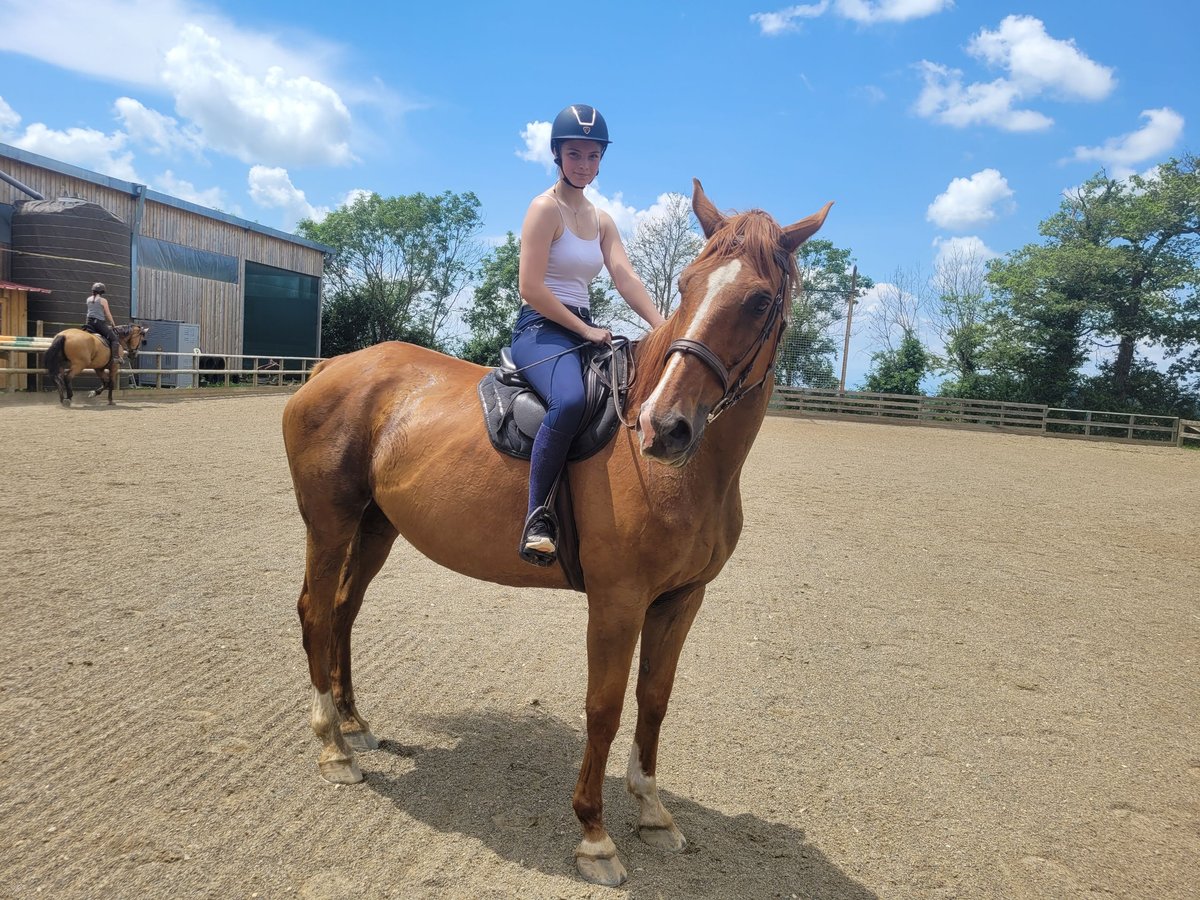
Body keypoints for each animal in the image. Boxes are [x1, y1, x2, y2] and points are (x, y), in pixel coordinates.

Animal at [280, 181, 830, 888]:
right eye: (687, 285)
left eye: (760, 299)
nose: (664, 427)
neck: (681, 473)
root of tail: (330, 368)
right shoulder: (618, 602)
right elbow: (604, 707)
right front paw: (594, 836)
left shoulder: (681, 600)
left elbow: (654, 699)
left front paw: (653, 812)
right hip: (329, 521)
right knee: (318, 610)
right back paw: (333, 747)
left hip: (376, 526)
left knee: (345, 610)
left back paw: (353, 724)